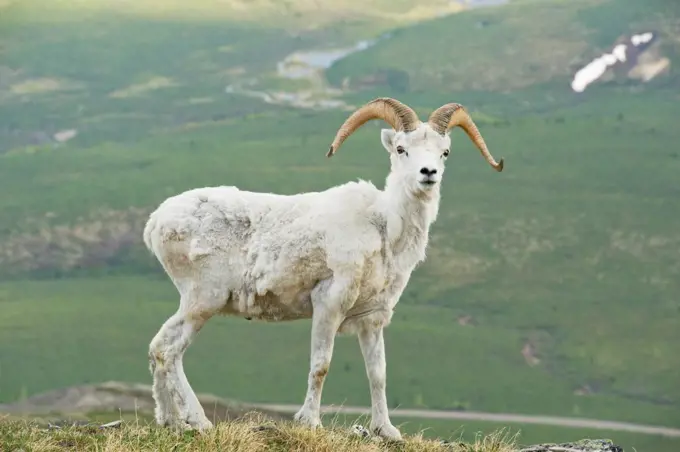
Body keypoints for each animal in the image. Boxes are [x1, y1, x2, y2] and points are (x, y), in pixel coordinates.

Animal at [145, 97, 504, 440]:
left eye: (444, 152)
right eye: (402, 149)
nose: (428, 173)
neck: (384, 228)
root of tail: (156, 222)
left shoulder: (372, 319)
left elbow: (378, 374)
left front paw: (386, 430)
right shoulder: (329, 305)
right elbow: (321, 365)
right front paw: (311, 423)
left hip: (195, 303)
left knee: (158, 349)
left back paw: (171, 422)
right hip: (204, 301)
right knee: (170, 352)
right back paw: (200, 421)